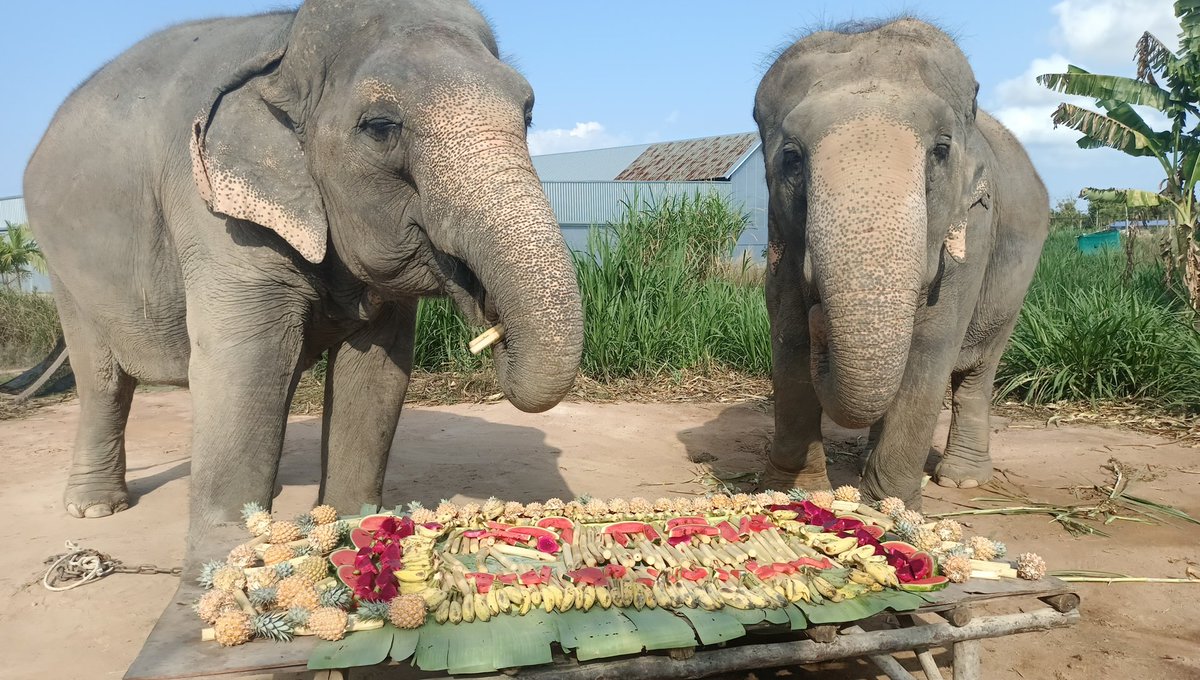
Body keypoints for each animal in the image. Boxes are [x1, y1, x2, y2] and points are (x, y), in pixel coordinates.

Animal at [23, 0, 583, 558]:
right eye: (380, 127)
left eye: (528, 115)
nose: (492, 330)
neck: (285, 47)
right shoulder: (214, 213)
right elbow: (243, 360)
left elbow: (377, 373)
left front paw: (355, 536)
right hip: (64, 268)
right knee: (102, 379)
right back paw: (95, 508)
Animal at [753, 18, 1048, 507]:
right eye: (791, 157)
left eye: (941, 150)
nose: (822, 320)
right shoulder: (778, 229)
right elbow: (789, 333)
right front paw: (796, 494)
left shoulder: (972, 228)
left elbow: (931, 344)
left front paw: (889, 507)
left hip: (1016, 282)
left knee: (977, 373)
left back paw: (962, 479)